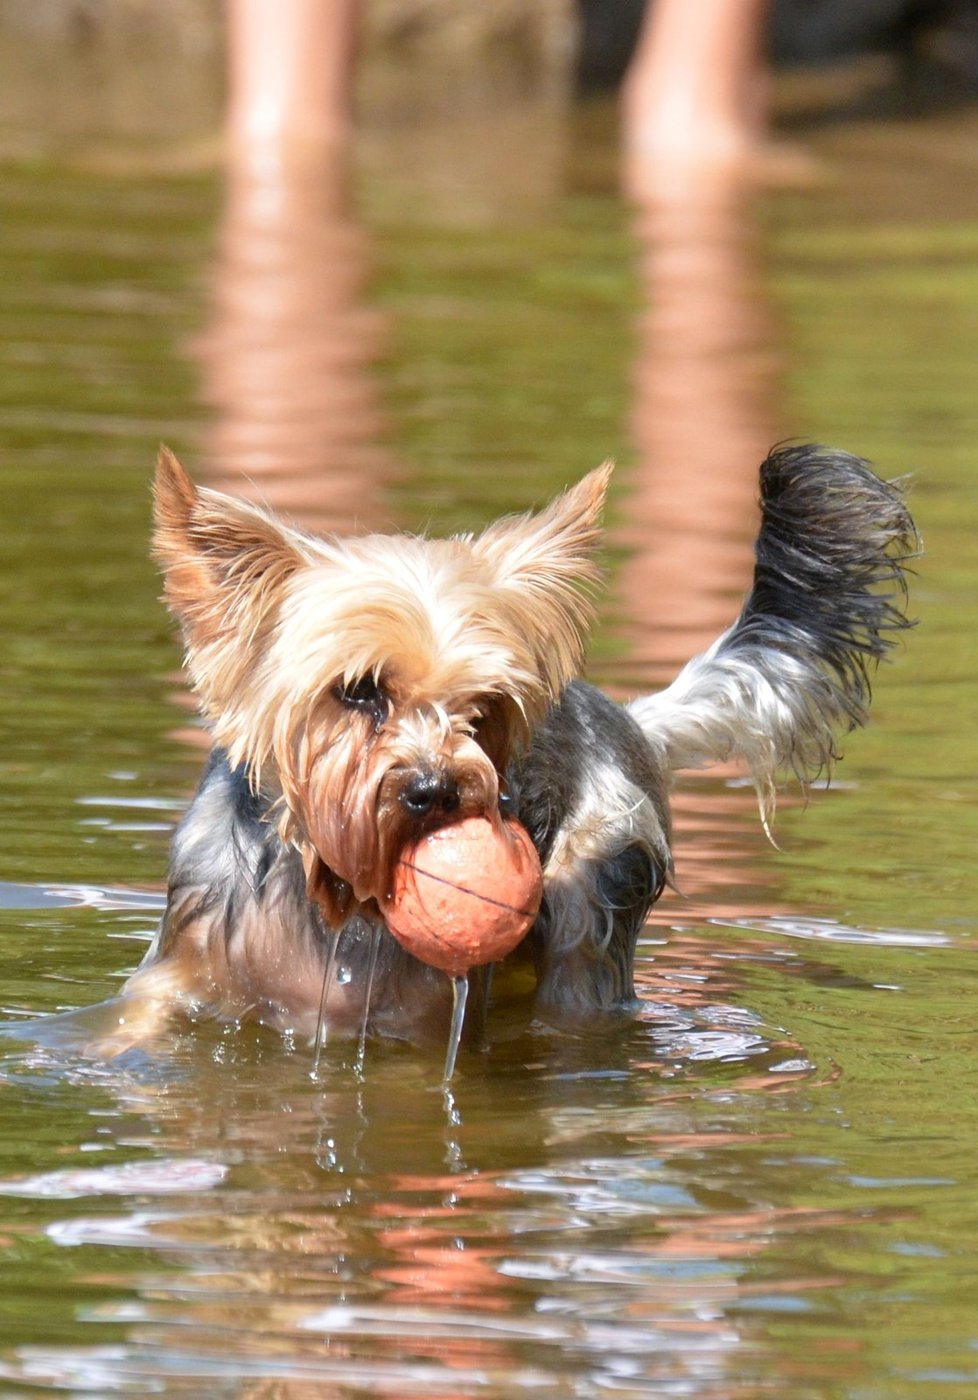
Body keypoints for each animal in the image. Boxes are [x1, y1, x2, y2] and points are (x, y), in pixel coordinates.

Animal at [107, 448, 917, 1058]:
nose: (435, 790)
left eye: (485, 708)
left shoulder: (413, 1014)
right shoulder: (185, 964)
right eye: (360, 691)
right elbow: (130, 1023)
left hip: (593, 910)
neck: (325, 892)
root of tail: (628, 718)